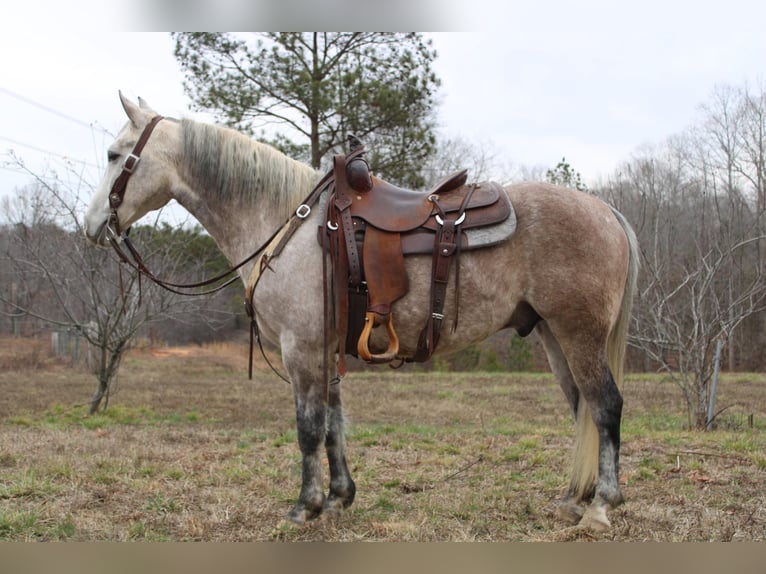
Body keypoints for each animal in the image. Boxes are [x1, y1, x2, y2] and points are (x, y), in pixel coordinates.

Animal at [84, 94, 640, 536]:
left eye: (114, 155)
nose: (92, 225)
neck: (284, 222)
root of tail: (607, 212)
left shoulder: (301, 348)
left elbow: (309, 427)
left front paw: (304, 507)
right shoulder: (325, 350)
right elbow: (334, 423)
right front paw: (338, 497)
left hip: (579, 335)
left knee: (605, 406)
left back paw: (601, 507)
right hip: (553, 336)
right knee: (582, 408)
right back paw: (574, 500)